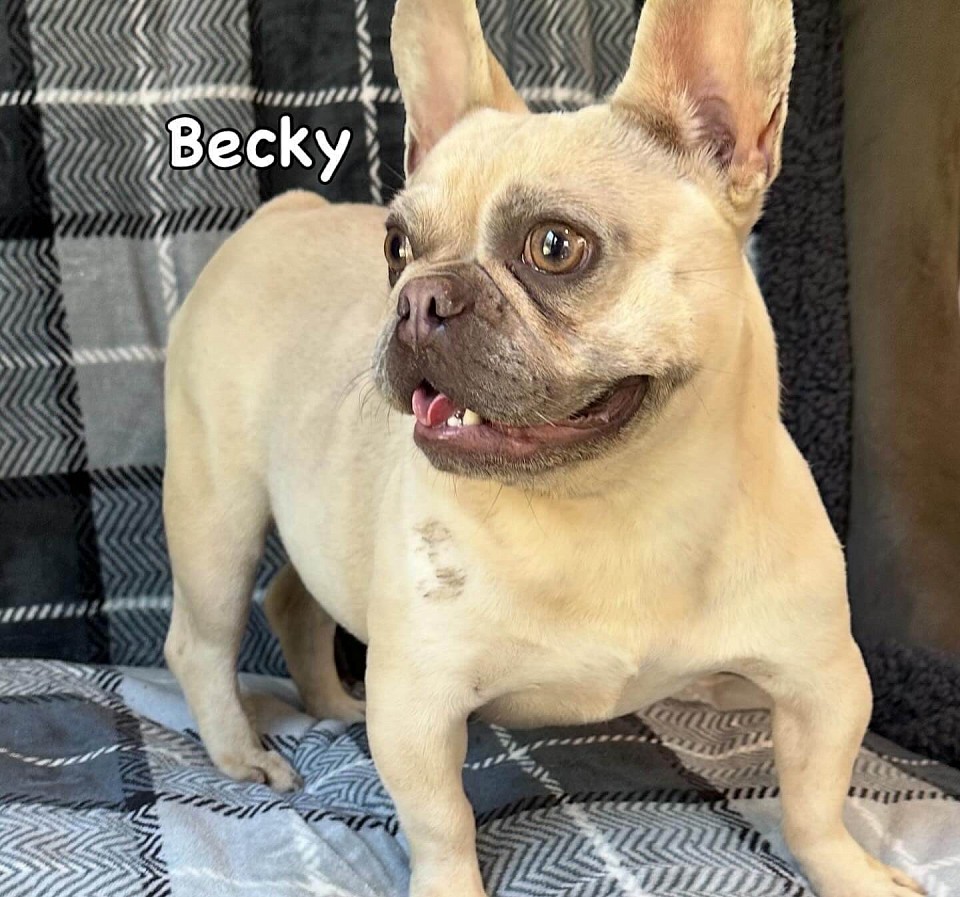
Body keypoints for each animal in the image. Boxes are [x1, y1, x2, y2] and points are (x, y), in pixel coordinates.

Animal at [162, 1, 926, 895]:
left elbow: (815, 800)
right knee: (202, 642)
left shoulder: (823, 678)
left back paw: (331, 704)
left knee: (294, 596)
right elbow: (442, 820)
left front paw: (854, 872)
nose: (417, 299)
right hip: (216, 513)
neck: (614, 498)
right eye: (395, 247)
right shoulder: (419, 703)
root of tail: (281, 212)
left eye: (555, 246)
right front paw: (449, 885)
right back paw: (241, 754)